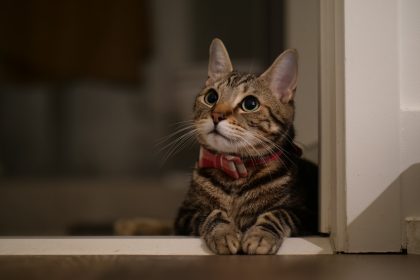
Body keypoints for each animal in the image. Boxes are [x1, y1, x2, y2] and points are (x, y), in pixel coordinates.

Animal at [172, 38, 316, 255]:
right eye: (211, 97)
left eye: (250, 104)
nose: (216, 115)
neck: (236, 171)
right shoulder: (185, 214)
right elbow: (211, 212)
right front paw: (223, 232)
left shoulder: (303, 214)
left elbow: (278, 214)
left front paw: (260, 236)